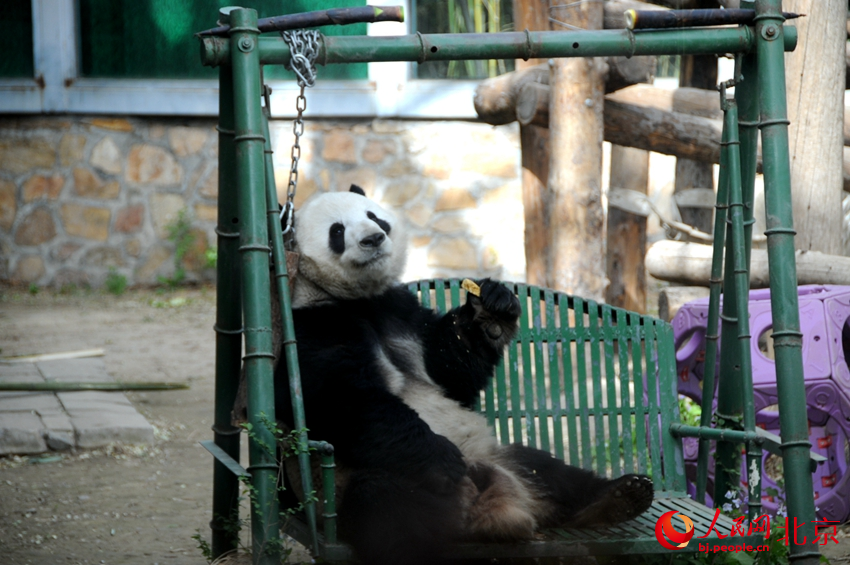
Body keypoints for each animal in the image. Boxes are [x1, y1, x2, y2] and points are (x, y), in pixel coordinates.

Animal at [274, 186, 652, 564]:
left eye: (373, 216)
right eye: (337, 231)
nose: (374, 238)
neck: (355, 300)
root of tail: (490, 510)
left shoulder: (401, 311)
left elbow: (451, 372)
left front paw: (492, 308)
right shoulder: (313, 329)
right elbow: (347, 401)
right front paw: (441, 460)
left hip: (498, 456)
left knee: (548, 469)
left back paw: (617, 497)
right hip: (355, 491)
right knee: (389, 510)